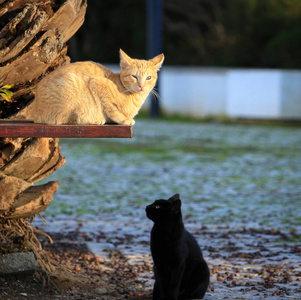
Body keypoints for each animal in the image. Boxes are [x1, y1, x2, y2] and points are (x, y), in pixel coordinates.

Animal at [18, 49, 164, 125]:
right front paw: (124, 119)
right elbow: (111, 108)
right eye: (134, 76)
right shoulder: (97, 83)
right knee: (64, 119)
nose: (141, 86)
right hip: (71, 82)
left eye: (148, 78)